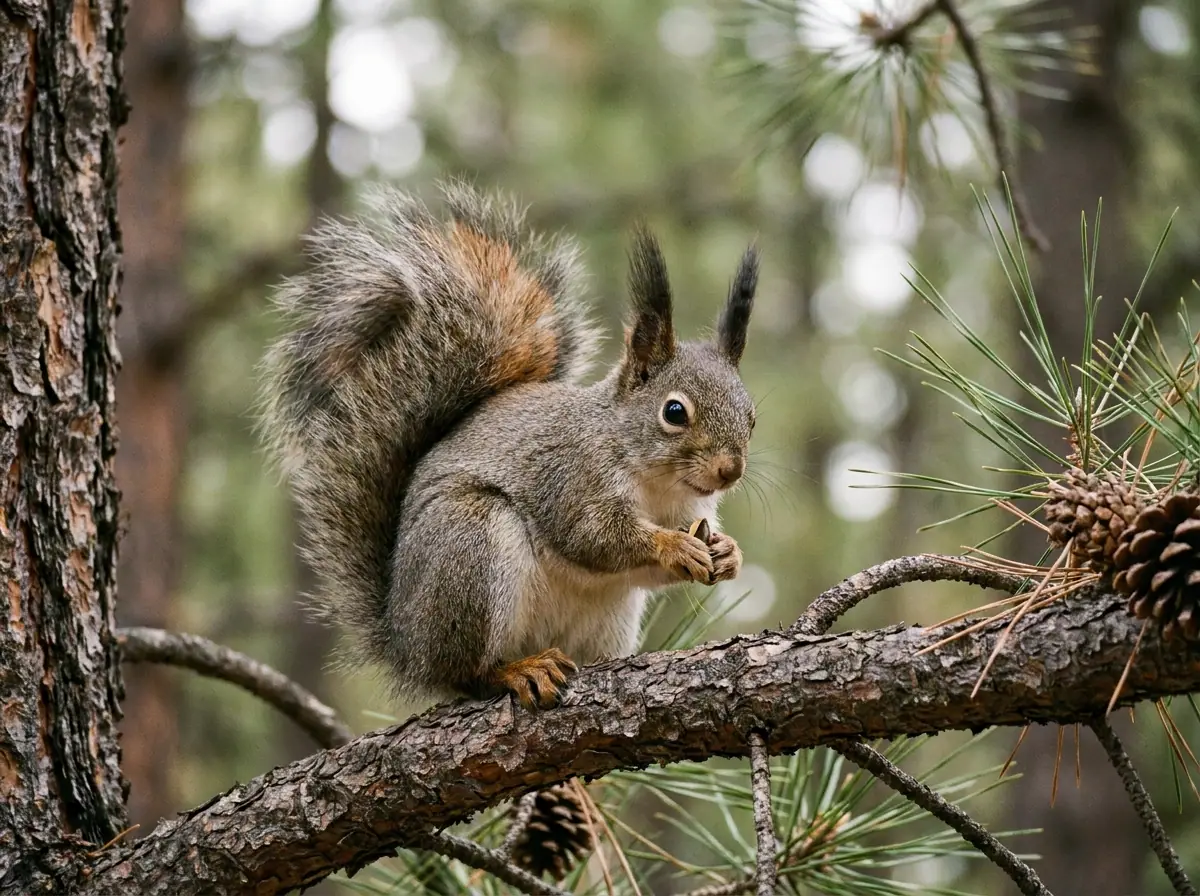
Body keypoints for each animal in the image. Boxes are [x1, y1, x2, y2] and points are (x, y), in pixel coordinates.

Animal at [260, 181, 759, 710]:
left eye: (752, 418)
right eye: (674, 412)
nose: (730, 471)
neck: (655, 479)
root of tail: (407, 644)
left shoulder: (689, 508)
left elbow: (651, 570)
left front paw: (727, 552)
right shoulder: (571, 475)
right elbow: (594, 537)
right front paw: (671, 545)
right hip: (472, 545)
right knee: (468, 673)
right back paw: (518, 670)